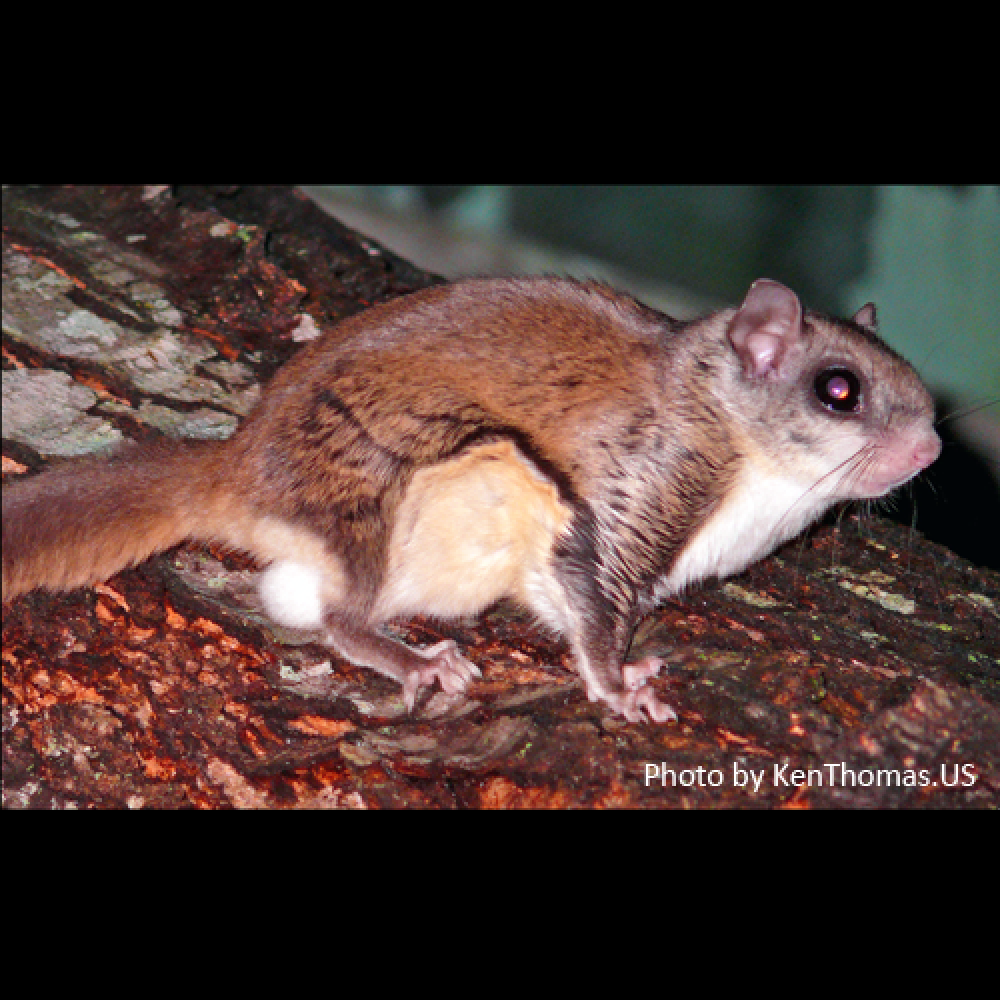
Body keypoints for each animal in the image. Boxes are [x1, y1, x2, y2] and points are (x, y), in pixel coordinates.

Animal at [2, 277, 941, 722]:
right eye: (839, 391)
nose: (932, 446)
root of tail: (237, 470)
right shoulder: (632, 494)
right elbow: (593, 609)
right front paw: (620, 688)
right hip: (376, 486)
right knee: (339, 618)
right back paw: (414, 661)